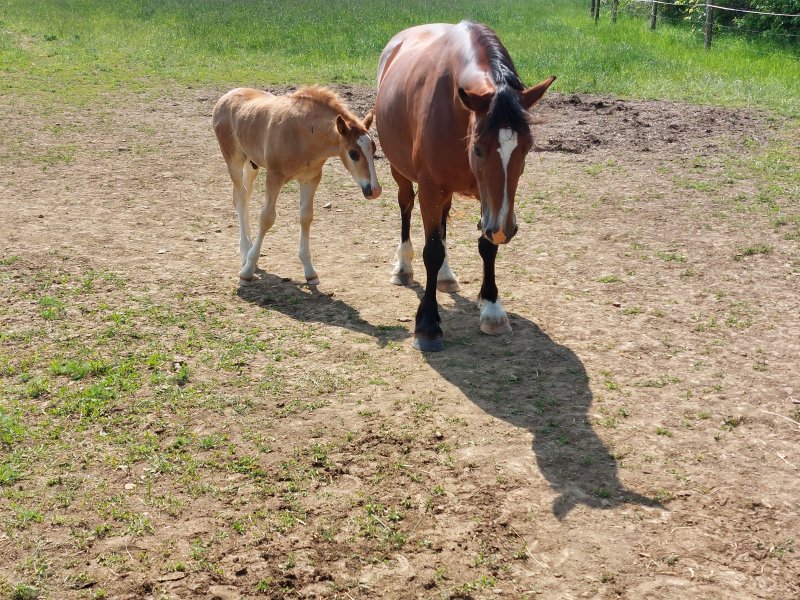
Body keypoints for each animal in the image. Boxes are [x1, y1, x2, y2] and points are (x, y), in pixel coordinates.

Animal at [212, 85, 382, 284]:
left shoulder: (311, 178)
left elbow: (306, 217)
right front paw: (247, 270)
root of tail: (225, 97)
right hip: (234, 160)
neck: (304, 133)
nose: (375, 190)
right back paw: (246, 251)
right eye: (353, 153)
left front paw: (309, 270)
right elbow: (266, 218)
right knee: (239, 197)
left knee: (246, 194)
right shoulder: (274, 176)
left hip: (251, 163)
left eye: (374, 149)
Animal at [376, 21, 556, 352]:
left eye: (526, 148)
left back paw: (446, 276)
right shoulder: (431, 188)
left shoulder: (490, 201)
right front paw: (428, 325)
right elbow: (432, 250)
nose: (506, 228)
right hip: (402, 173)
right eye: (478, 149)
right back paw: (403, 268)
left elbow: (486, 245)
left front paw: (492, 308)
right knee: (406, 206)